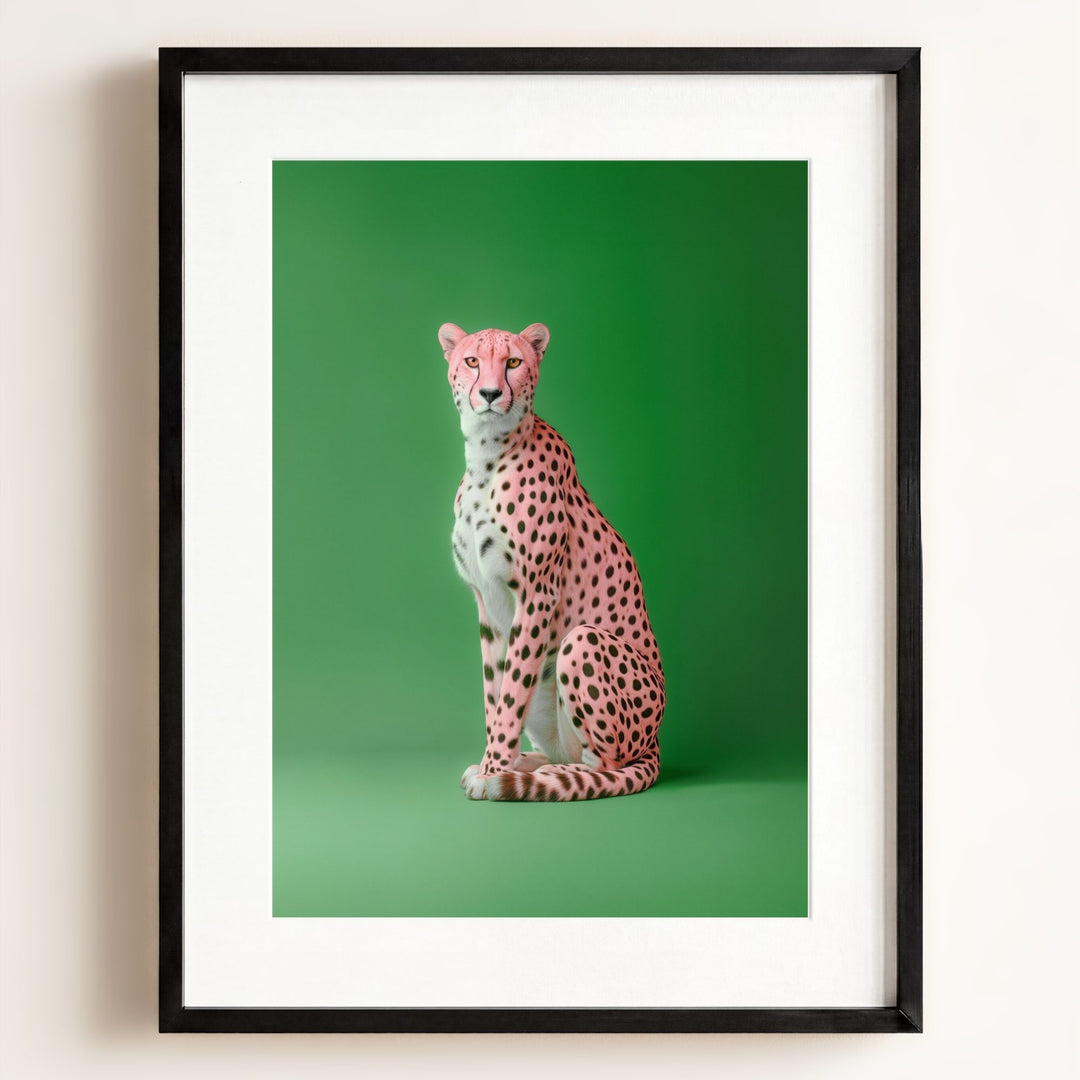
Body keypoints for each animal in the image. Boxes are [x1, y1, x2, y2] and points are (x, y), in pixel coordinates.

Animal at [441, 321, 664, 801]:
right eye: (472, 361)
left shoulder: (537, 595)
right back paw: (528, 764)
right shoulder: (487, 604)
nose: (490, 393)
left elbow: (510, 696)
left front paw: (493, 771)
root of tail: (655, 741)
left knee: (606, 766)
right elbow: (495, 693)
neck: (487, 454)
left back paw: (541, 777)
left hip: (581, 642)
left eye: (513, 362)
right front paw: (493, 763)